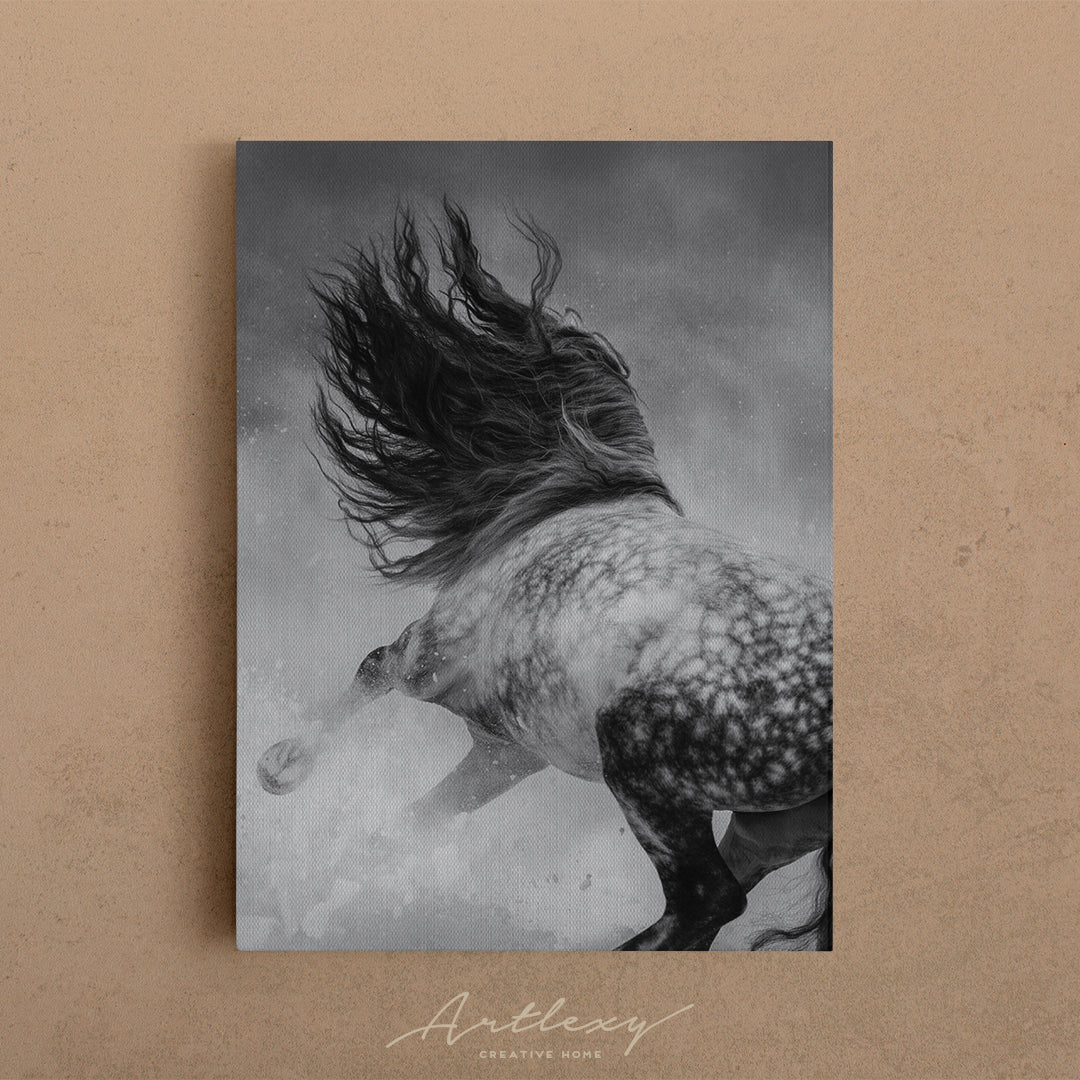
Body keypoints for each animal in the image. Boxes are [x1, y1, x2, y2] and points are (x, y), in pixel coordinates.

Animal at [256, 203, 833, 951]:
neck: (579, 495)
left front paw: (279, 770)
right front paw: (330, 884)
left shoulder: (428, 659)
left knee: (706, 898)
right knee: (712, 904)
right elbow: (414, 822)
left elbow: (369, 670)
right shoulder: (505, 754)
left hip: (642, 773)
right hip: (773, 831)